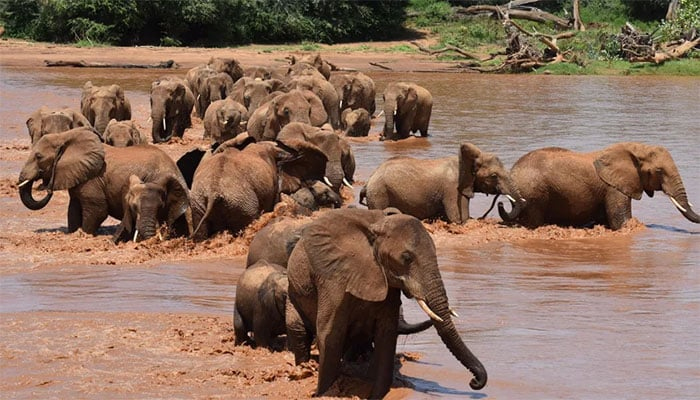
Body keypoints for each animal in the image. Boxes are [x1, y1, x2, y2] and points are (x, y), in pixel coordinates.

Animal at [17, 126, 189, 238]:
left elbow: (97, 210)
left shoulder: (92, 179)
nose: (45, 187)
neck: (65, 136)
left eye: (38, 157)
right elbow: (73, 209)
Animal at [284, 208, 486, 398]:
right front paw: (323, 393)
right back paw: (304, 367)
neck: (376, 228)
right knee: (298, 330)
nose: (474, 382)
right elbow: (331, 334)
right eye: (406, 258)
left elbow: (386, 335)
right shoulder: (334, 277)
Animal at [360, 143, 524, 225]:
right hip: (379, 194)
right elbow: (460, 220)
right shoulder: (453, 189)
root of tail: (369, 179)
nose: (500, 203)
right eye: (494, 176)